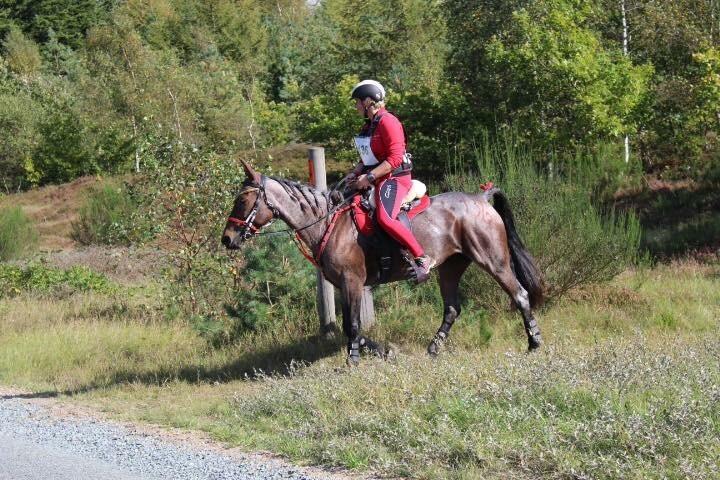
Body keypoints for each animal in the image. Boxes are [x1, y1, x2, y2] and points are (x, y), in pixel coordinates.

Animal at [222, 159, 544, 366]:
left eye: (242, 201)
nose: (227, 239)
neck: (329, 223)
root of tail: (481, 197)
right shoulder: (344, 286)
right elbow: (350, 328)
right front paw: (383, 353)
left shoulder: (352, 282)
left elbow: (352, 326)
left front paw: (353, 360)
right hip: (451, 266)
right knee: (452, 308)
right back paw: (433, 348)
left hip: (493, 260)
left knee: (519, 294)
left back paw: (534, 344)